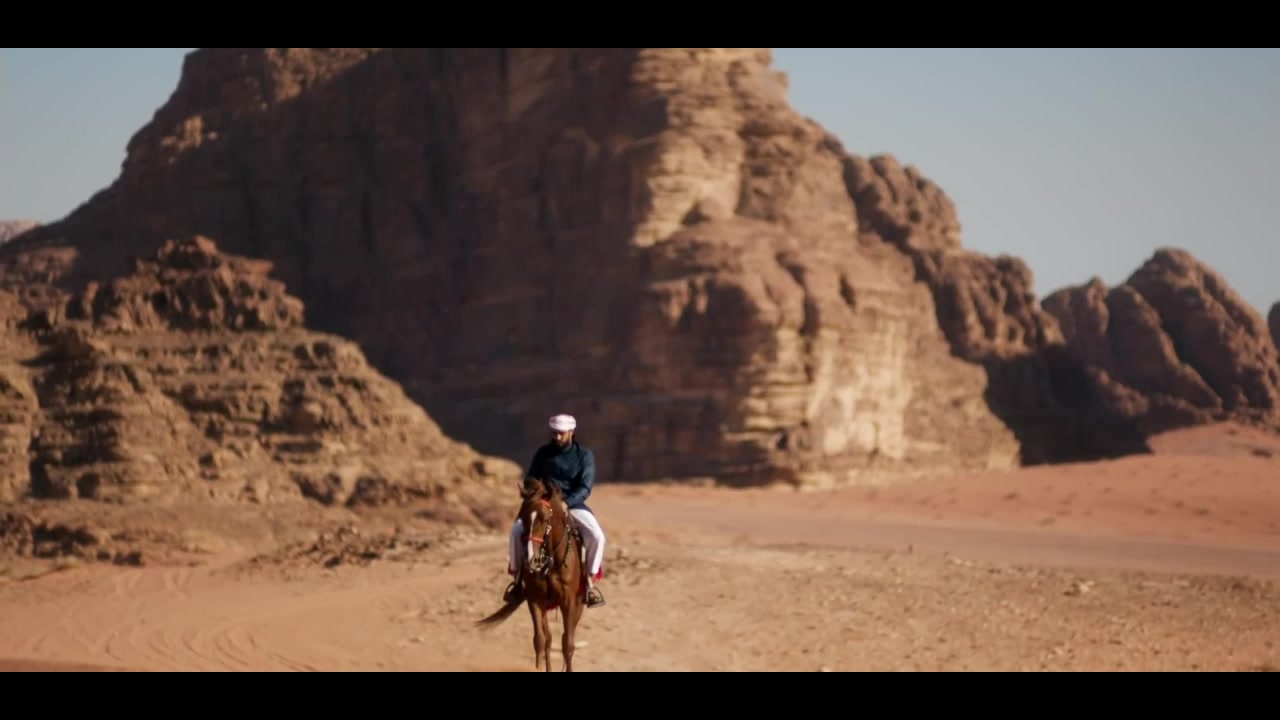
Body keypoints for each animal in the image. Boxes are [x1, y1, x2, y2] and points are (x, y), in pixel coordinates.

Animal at [475, 475, 588, 672]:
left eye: (545, 518)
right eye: (522, 517)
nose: (530, 559)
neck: (551, 561)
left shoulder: (569, 601)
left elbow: (568, 644)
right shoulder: (535, 599)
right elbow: (540, 641)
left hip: (578, 603)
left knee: (567, 636)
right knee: (549, 638)